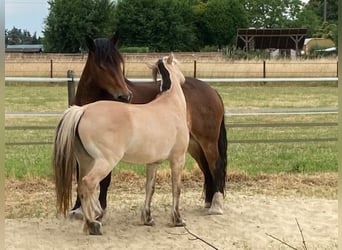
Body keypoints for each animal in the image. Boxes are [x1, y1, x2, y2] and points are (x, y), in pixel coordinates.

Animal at [52, 53, 190, 235]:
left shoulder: (153, 163)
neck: (171, 105)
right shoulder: (178, 158)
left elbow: (150, 188)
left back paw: (92, 220)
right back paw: (94, 222)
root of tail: (83, 110)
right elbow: (177, 188)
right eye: (177, 65)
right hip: (105, 161)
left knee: (81, 186)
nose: (184, 79)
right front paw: (178, 220)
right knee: (89, 183)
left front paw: (148, 218)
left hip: (85, 161)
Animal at [70, 33, 227, 217]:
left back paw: (216, 205)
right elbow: (80, 176)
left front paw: (101, 206)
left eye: (120, 63)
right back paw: (208, 202)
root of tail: (212, 90)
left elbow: (105, 179)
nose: (125, 96)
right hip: (194, 144)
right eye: (101, 66)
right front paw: (77, 208)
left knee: (216, 166)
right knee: (206, 168)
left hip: (207, 141)